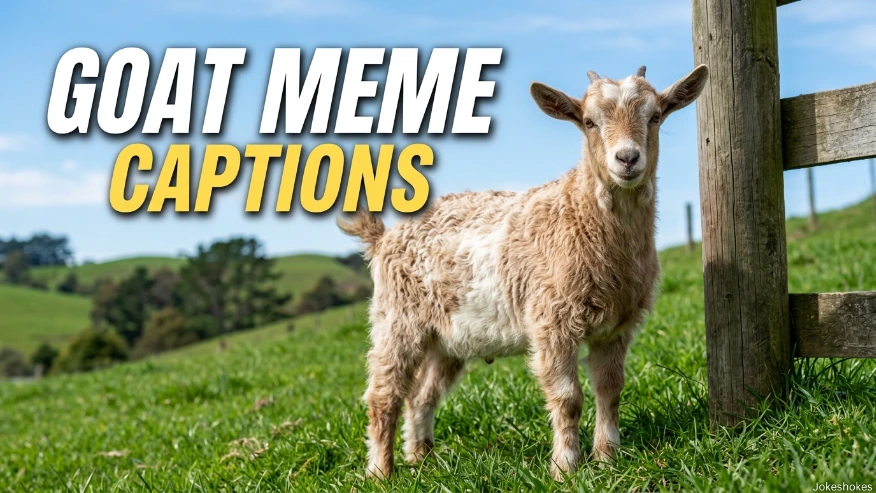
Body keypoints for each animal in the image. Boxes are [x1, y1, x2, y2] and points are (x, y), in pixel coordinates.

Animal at [338, 64, 709, 481]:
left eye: (655, 116)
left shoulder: (616, 326)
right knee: (384, 394)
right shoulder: (552, 321)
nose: (627, 158)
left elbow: (610, 389)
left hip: (446, 340)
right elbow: (568, 398)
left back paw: (421, 457)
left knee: (422, 395)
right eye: (589, 122)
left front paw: (606, 458)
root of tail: (384, 236)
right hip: (397, 321)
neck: (580, 214)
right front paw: (565, 468)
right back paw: (380, 472)